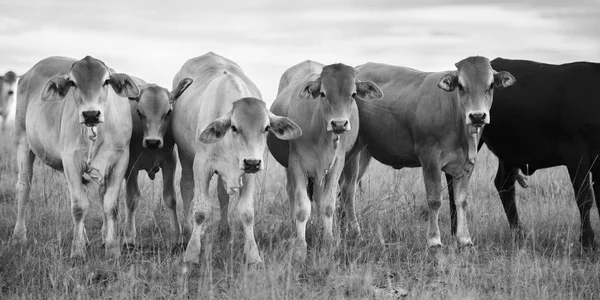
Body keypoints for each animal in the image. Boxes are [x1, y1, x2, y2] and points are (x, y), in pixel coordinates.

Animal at [11, 56, 140, 258]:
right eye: (73, 83)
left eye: (106, 81)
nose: (91, 114)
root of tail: (28, 73)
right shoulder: (71, 160)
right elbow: (79, 207)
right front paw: (77, 251)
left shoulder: (121, 161)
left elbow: (110, 206)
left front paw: (112, 249)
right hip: (22, 141)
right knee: (24, 186)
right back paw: (19, 236)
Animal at [123, 77, 193, 248]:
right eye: (139, 112)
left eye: (168, 113)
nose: (153, 142)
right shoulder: (131, 166)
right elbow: (132, 199)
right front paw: (129, 237)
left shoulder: (170, 162)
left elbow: (170, 198)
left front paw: (176, 235)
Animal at [172, 52, 304, 264]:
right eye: (233, 127)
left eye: (266, 128)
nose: (252, 162)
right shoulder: (202, 166)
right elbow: (200, 211)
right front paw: (192, 253)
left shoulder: (249, 173)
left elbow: (247, 213)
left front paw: (253, 255)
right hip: (185, 156)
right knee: (186, 188)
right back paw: (186, 231)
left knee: (222, 194)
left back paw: (224, 229)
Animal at [268, 61, 384, 260]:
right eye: (323, 93)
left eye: (353, 94)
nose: (339, 124)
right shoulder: (296, 165)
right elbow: (302, 208)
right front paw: (300, 248)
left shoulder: (336, 164)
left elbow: (328, 205)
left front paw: (328, 243)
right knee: (293, 194)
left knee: (338, 195)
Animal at [342, 56, 516, 248]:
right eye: (461, 86)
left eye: (490, 85)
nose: (477, 116)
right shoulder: (430, 159)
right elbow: (434, 200)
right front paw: (434, 240)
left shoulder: (467, 164)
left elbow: (461, 201)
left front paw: (465, 239)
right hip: (352, 152)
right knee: (348, 190)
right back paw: (355, 232)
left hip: (364, 152)